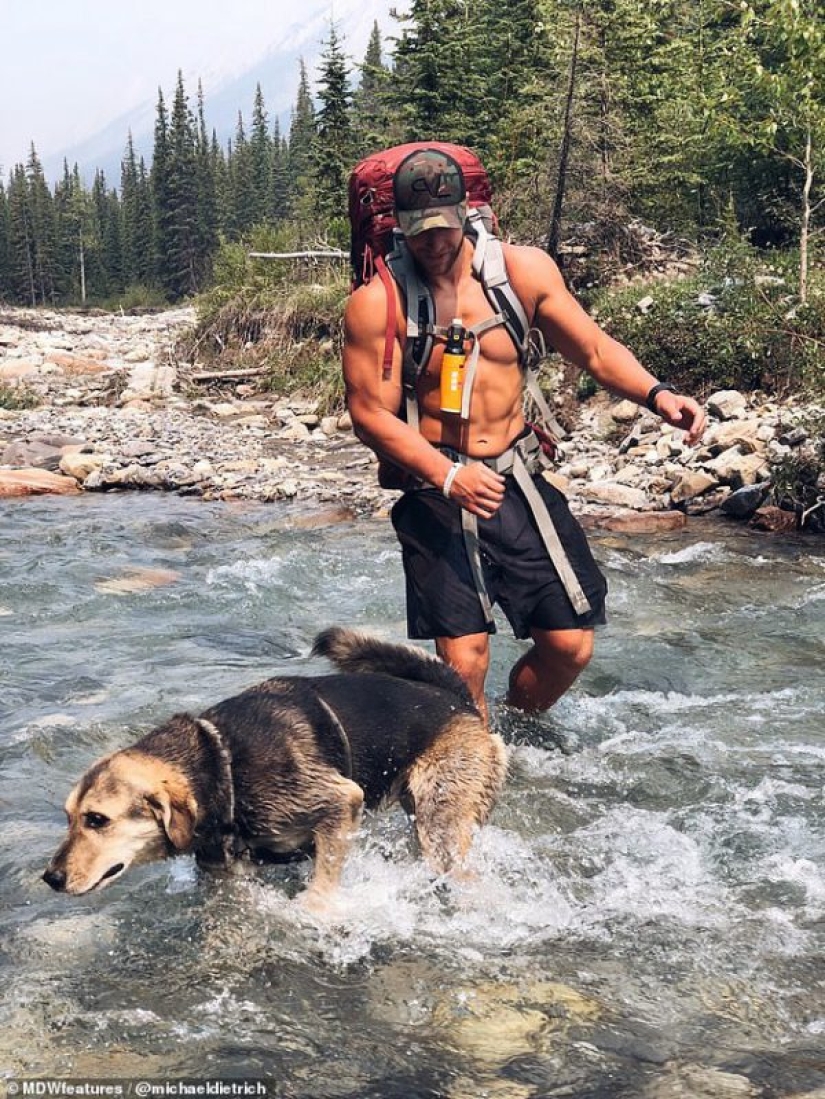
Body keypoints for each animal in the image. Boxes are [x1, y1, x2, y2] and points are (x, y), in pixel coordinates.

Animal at [46, 633, 509, 905]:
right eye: (68, 818)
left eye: (97, 819)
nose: (50, 877)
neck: (221, 763)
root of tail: (456, 699)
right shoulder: (226, 875)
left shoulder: (341, 803)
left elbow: (320, 889)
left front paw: (317, 916)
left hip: (440, 824)